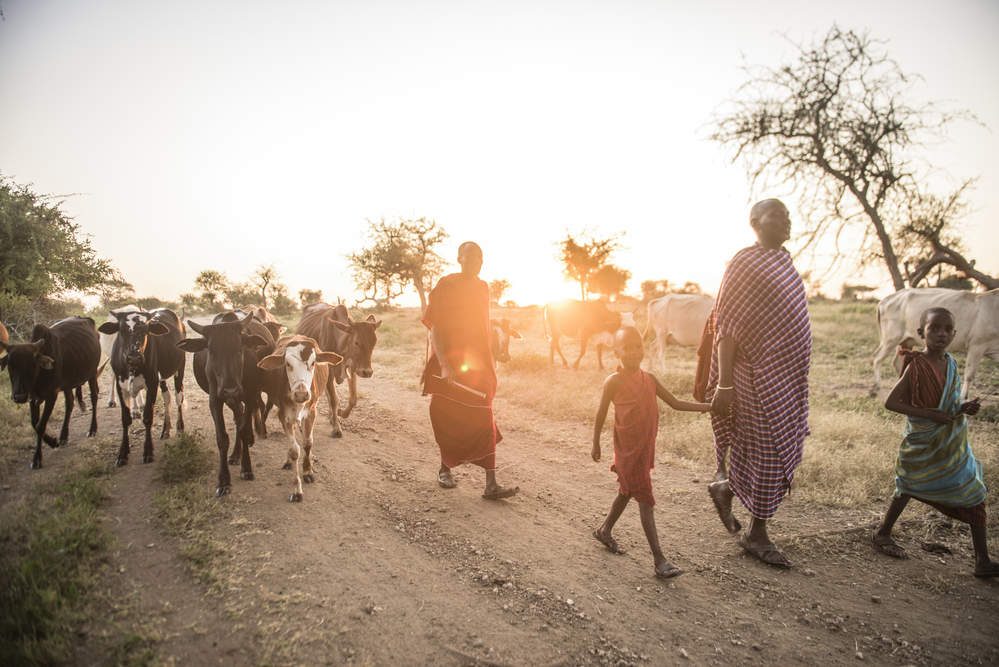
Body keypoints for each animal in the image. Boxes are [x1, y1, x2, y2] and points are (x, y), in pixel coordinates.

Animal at [0, 318, 100, 470]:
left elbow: (40, 425)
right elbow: (34, 423)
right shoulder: (32, 397)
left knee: (94, 398)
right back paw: (63, 436)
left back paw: (92, 429)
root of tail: (87, 320)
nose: (19, 397)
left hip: (92, 373)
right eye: (11, 366)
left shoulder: (51, 395)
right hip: (68, 384)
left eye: (32, 364)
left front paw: (37, 458)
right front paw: (53, 441)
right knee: (69, 403)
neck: (39, 376)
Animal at [100, 310, 188, 468]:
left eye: (146, 330)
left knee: (179, 397)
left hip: (180, 367)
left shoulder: (152, 384)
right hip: (162, 377)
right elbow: (125, 419)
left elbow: (147, 417)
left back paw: (179, 426)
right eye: (122, 330)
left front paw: (148, 451)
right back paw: (166, 429)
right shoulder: (121, 387)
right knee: (167, 397)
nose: (134, 357)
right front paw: (123, 453)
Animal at [176, 312, 270, 496]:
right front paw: (224, 480)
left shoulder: (249, 395)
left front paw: (246, 468)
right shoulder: (215, 400)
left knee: (243, 418)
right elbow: (222, 438)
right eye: (212, 351)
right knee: (238, 415)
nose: (230, 390)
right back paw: (235, 454)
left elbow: (243, 429)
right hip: (230, 400)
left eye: (240, 349)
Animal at [258, 336, 344, 504]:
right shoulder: (284, 416)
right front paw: (297, 489)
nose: (301, 394)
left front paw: (308, 470)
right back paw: (288, 461)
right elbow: (294, 450)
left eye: (313, 363)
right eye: (287, 364)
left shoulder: (311, 412)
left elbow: (308, 442)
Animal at [294, 302, 380, 438]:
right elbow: (334, 399)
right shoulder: (328, 370)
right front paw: (336, 427)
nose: (367, 372)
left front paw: (340, 413)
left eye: (374, 343)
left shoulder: (353, 367)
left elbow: (353, 399)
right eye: (356, 342)